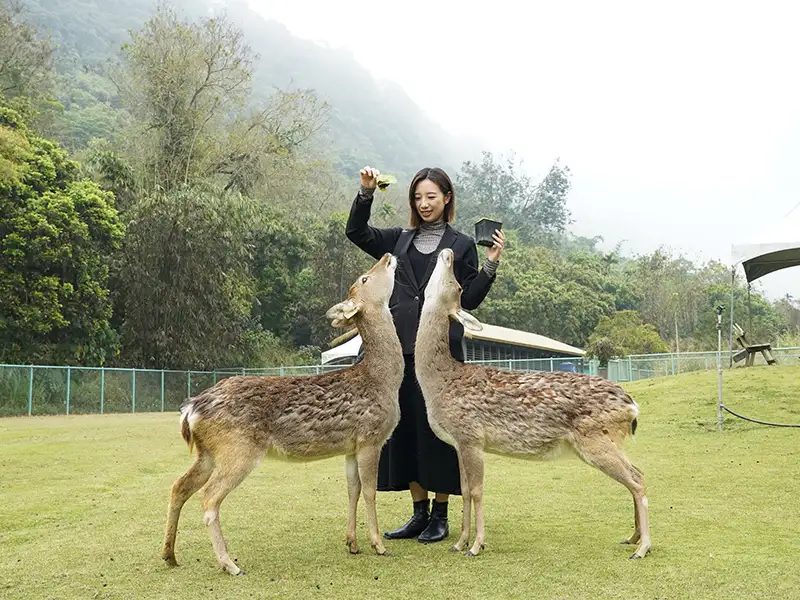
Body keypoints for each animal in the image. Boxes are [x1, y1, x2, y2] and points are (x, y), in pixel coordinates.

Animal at [160, 251, 406, 576]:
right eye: (364, 278)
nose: (388, 255)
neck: (383, 381)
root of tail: (191, 410)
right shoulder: (370, 437)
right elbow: (370, 491)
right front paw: (378, 545)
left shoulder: (350, 446)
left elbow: (351, 490)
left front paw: (352, 543)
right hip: (238, 449)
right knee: (209, 497)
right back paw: (229, 564)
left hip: (208, 452)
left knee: (179, 487)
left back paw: (170, 555)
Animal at [412, 246, 648, 560]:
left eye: (460, 286)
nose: (447, 252)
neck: (441, 384)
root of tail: (632, 407)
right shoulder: (459, 443)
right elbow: (464, 490)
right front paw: (459, 543)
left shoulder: (471, 436)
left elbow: (476, 491)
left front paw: (476, 546)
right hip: (607, 441)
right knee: (638, 473)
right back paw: (632, 538)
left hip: (597, 439)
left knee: (637, 480)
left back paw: (643, 547)